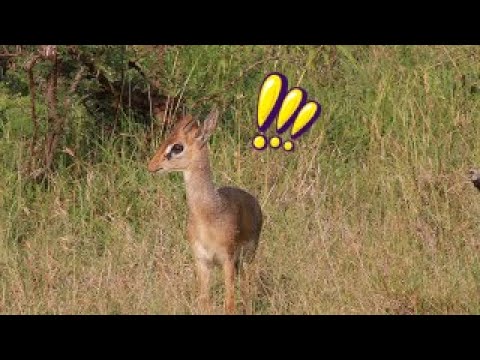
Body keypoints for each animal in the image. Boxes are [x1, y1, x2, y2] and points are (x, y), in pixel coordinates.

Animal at [148, 108, 264, 314]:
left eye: (177, 147)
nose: (152, 166)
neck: (208, 213)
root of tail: (253, 200)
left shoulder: (227, 259)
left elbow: (229, 304)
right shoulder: (202, 261)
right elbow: (204, 303)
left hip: (247, 258)